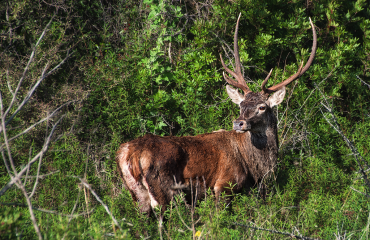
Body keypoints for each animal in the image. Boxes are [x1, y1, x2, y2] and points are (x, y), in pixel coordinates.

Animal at [116, 14, 318, 213]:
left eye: (262, 107)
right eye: (241, 104)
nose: (239, 123)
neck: (256, 170)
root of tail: (129, 155)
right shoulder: (225, 183)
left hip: (136, 192)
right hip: (164, 189)